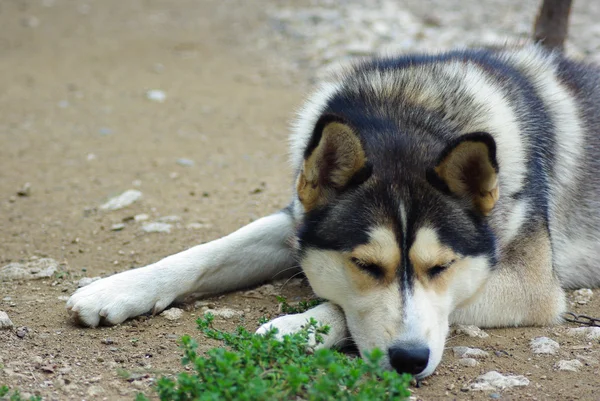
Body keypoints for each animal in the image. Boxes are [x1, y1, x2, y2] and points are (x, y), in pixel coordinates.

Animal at [68, 42, 600, 376]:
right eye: (364, 264)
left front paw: (295, 327)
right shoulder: (298, 222)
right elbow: (208, 252)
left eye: (441, 267)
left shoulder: (533, 288)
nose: (410, 361)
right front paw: (120, 288)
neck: (405, 113)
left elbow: (360, 308)